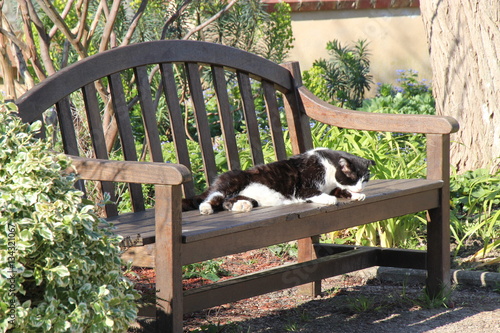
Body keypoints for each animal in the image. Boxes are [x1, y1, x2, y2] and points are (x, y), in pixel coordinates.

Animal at [183, 147, 376, 214]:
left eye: (365, 180)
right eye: (353, 178)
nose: (360, 188)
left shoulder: (332, 186)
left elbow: (339, 190)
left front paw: (355, 195)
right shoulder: (303, 188)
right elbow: (317, 193)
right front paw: (330, 199)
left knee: (228, 202)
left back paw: (242, 206)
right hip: (232, 182)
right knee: (214, 198)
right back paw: (206, 208)